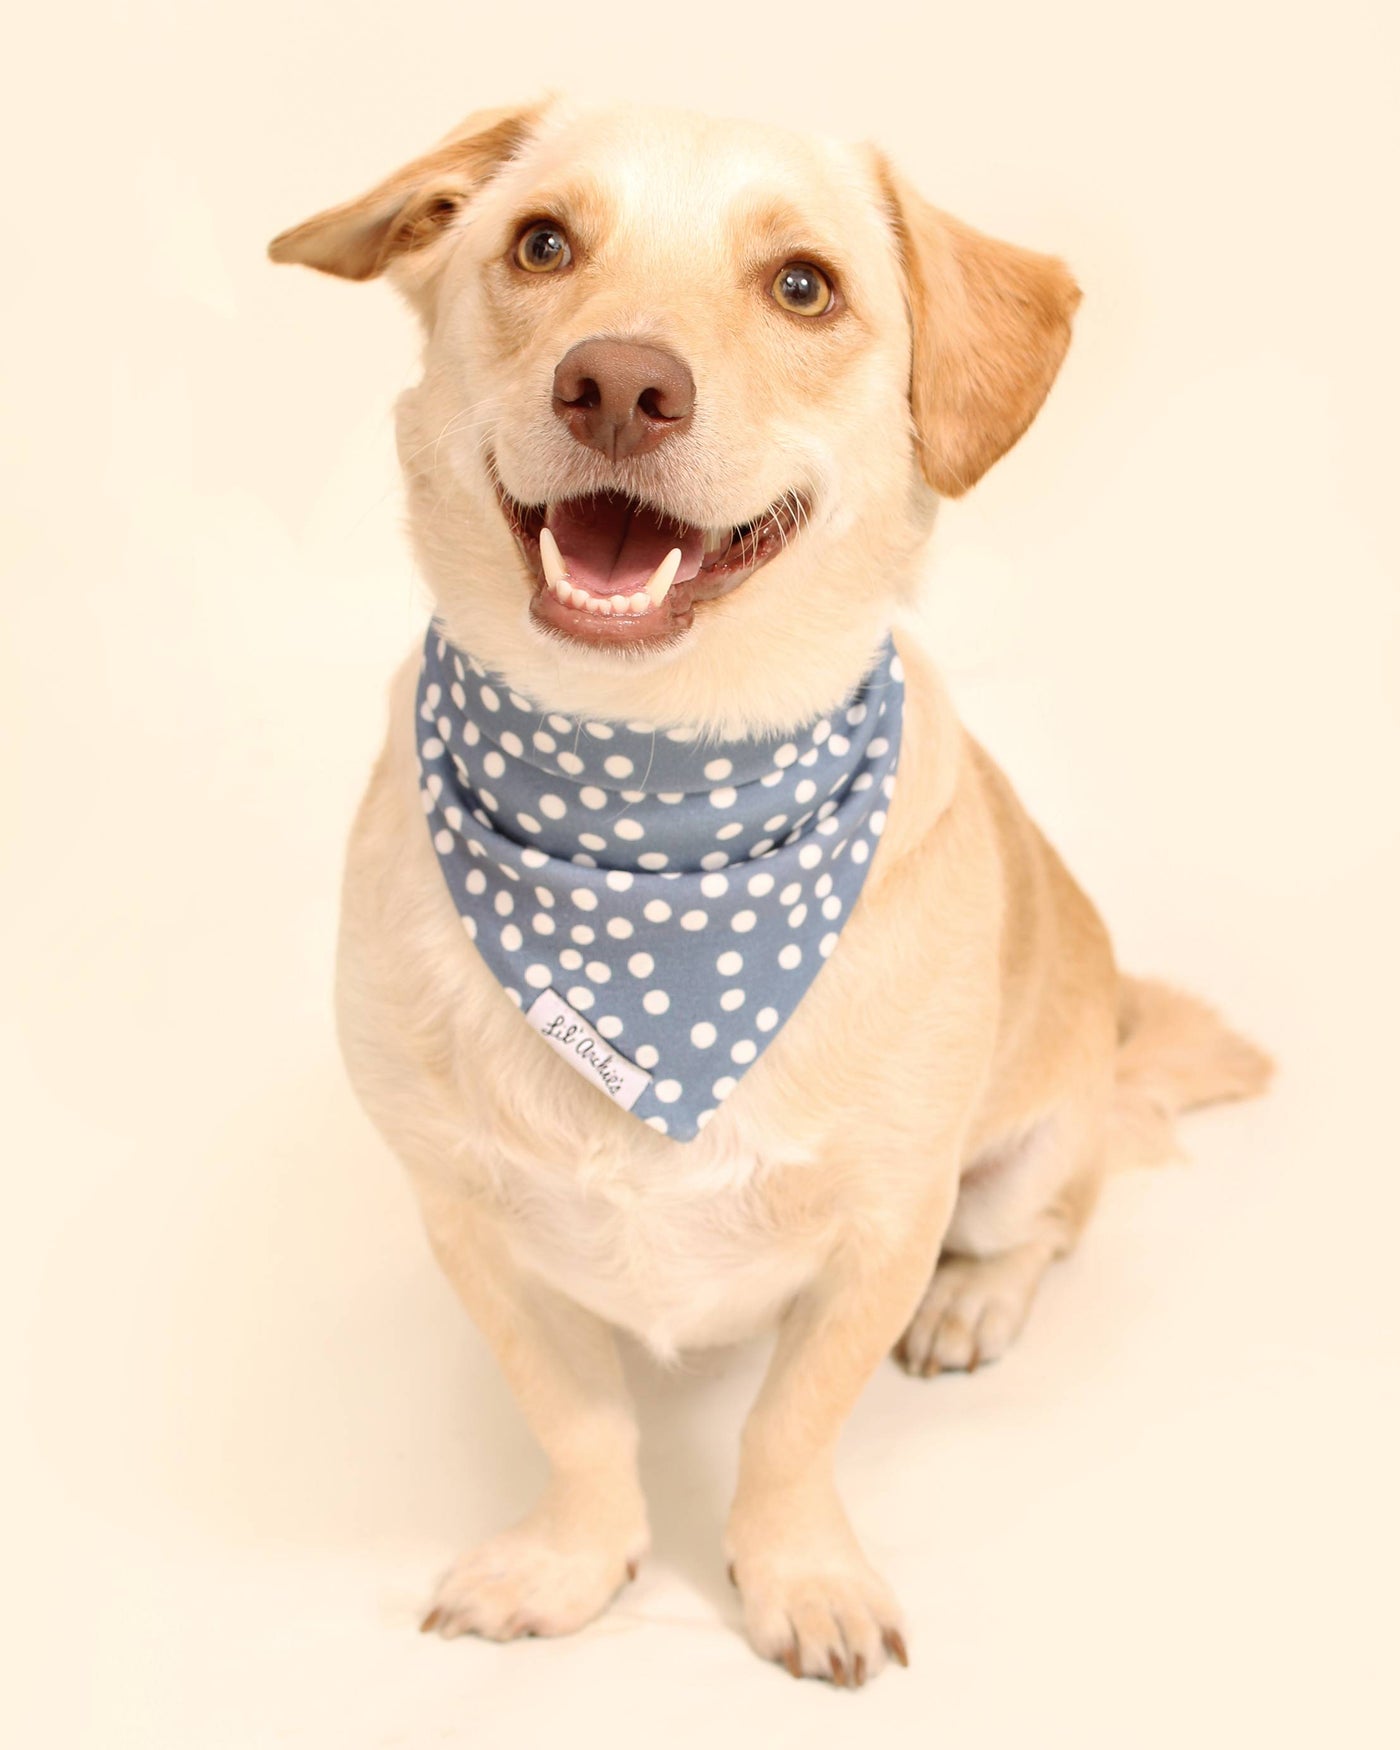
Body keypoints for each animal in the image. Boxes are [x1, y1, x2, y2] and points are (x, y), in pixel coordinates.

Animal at [267, 92, 1274, 1680]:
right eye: (539, 244)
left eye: (803, 285)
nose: (618, 384)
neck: (646, 809)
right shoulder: (471, 1224)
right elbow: (580, 1421)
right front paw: (573, 1560)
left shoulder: (885, 1225)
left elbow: (791, 1428)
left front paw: (797, 1574)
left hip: (1034, 1141)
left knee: (1053, 1221)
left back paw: (976, 1300)